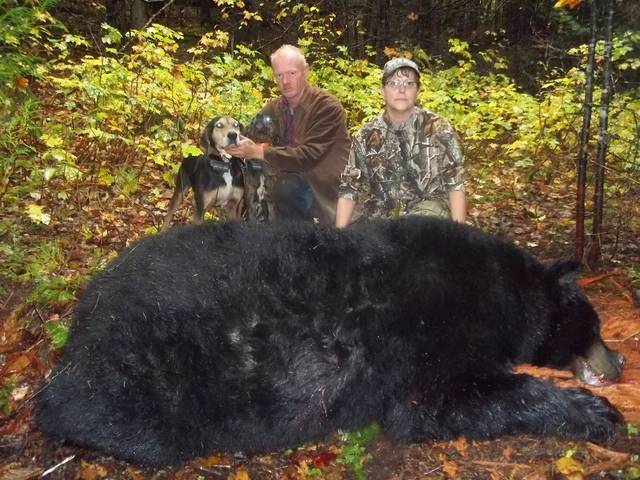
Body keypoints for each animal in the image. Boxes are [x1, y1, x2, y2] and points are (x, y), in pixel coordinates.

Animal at [36, 216, 624, 467]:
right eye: (595, 325)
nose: (619, 359)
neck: (504, 290)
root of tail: (82, 316)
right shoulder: (427, 339)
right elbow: (432, 404)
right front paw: (596, 412)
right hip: (146, 377)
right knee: (97, 414)